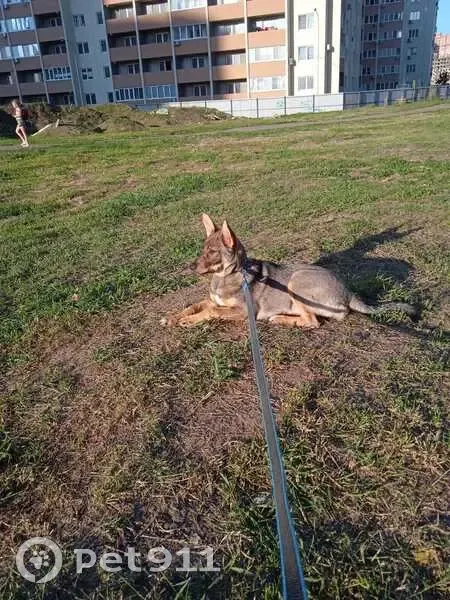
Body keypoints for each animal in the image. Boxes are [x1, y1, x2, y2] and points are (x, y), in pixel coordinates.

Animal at [161, 214, 416, 328]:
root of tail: (349, 293)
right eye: (202, 249)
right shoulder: (212, 300)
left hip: (296, 283)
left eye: (213, 252)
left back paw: (279, 318)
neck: (229, 275)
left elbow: (212, 311)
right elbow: (194, 305)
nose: (190, 266)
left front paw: (190, 321)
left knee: (313, 321)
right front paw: (172, 317)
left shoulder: (244, 312)